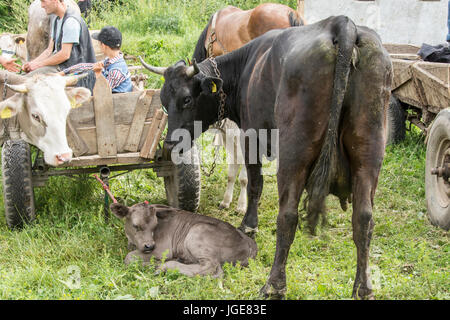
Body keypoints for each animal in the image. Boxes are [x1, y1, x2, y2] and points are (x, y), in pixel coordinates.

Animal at [110, 204, 256, 276]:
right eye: (136, 226)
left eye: (154, 226)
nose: (149, 246)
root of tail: (250, 242)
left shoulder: (162, 249)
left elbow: (129, 257)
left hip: (197, 233)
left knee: (212, 267)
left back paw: (164, 266)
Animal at [140, 15, 390, 300]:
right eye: (162, 99)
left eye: (186, 99)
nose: (170, 144)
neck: (245, 68)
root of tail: (342, 24)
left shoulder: (251, 136)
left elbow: (254, 184)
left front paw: (249, 224)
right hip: (368, 152)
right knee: (364, 218)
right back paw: (363, 288)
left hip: (294, 155)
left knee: (288, 216)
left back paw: (274, 284)